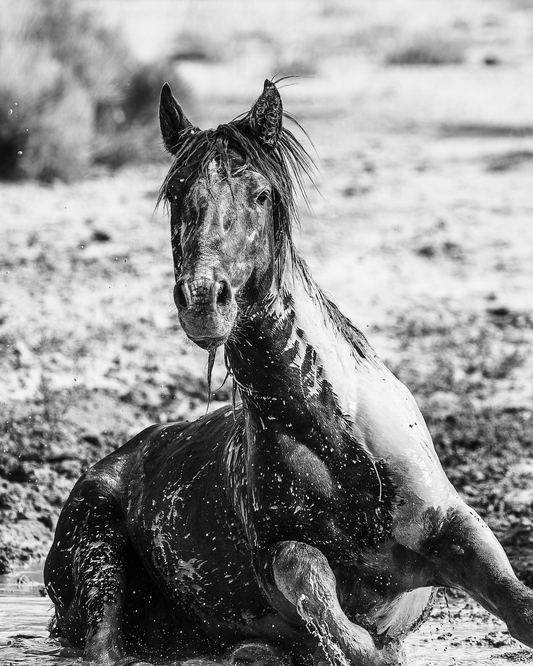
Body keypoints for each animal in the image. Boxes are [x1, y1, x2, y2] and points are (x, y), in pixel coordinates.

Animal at [44, 79, 533, 666]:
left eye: (260, 193)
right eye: (178, 194)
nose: (203, 300)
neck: (342, 446)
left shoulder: (452, 527)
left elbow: (518, 605)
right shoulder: (280, 559)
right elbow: (322, 598)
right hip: (98, 561)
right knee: (103, 647)